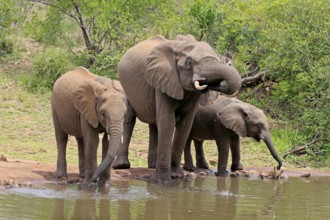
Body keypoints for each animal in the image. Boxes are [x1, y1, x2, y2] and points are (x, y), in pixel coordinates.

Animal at [96, 34, 241, 184]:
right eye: (189, 63)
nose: (213, 83)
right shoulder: (163, 79)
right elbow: (167, 121)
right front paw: (162, 181)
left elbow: (185, 124)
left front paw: (176, 176)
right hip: (126, 86)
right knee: (130, 119)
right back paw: (122, 165)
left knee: (154, 125)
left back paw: (152, 165)